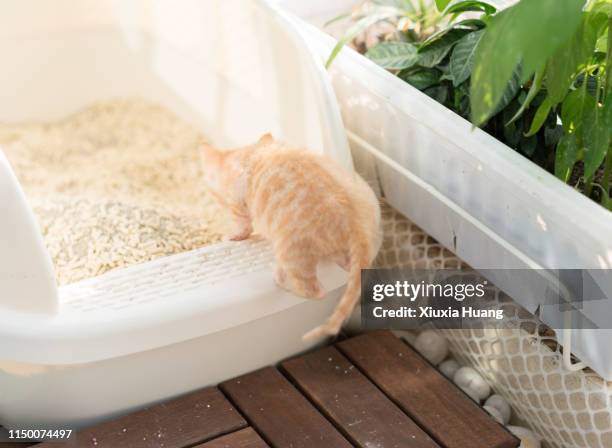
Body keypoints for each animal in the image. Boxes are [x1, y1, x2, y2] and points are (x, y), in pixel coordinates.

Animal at [201, 133, 382, 340]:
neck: (247, 154)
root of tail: (356, 223)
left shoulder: (238, 206)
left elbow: (243, 226)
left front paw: (232, 236)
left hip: (291, 252)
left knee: (316, 292)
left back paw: (281, 279)